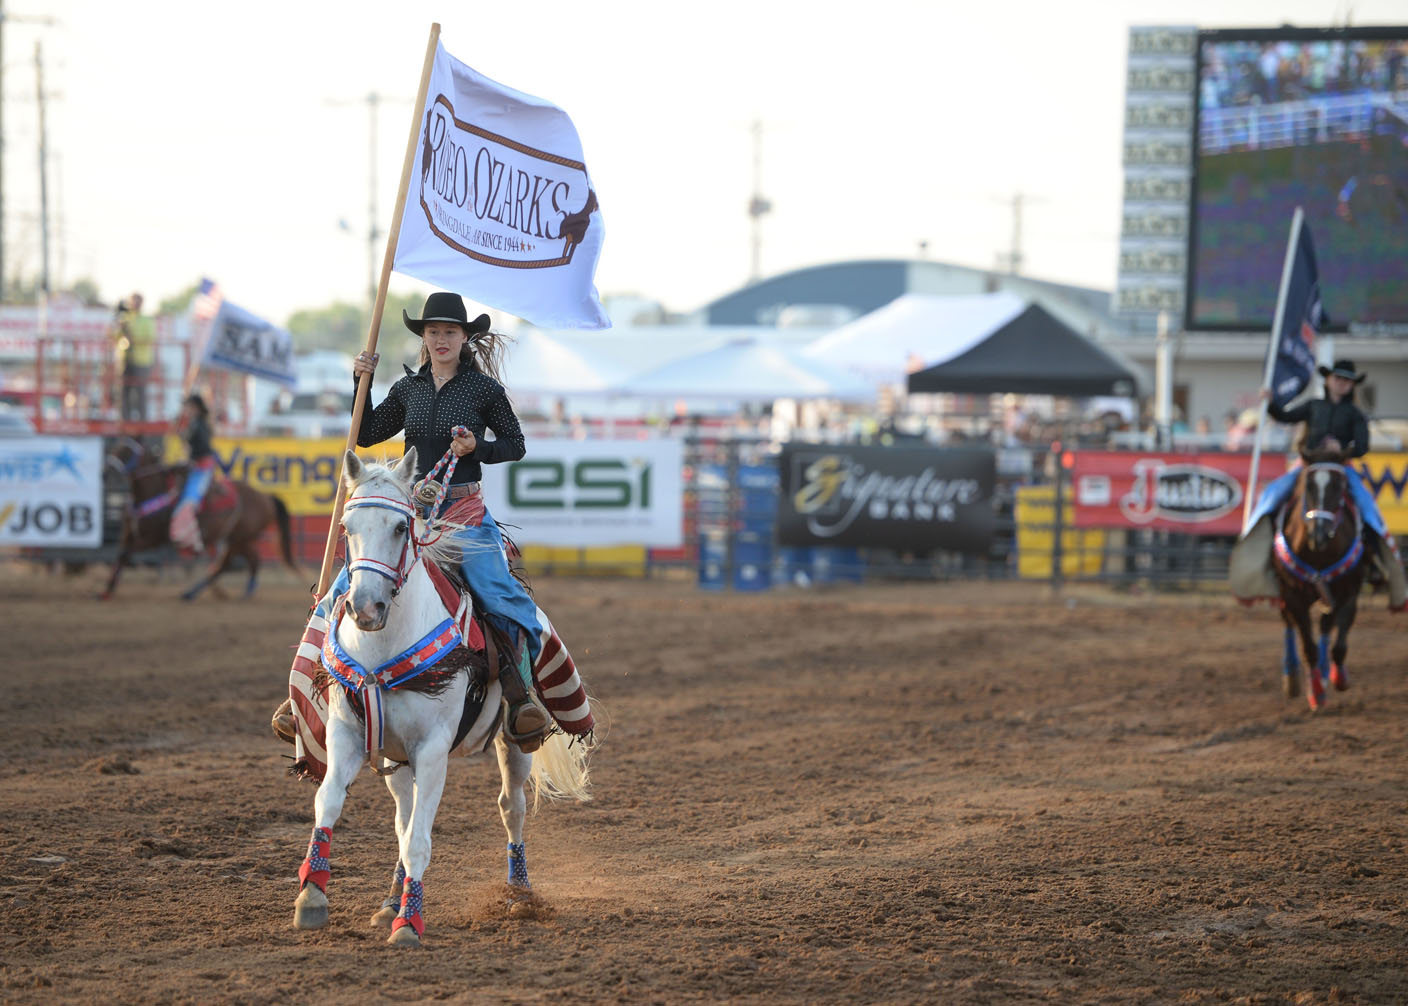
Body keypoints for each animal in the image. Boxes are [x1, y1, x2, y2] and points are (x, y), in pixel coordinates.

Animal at [101, 439, 299, 594]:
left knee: (230, 564)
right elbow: (120, 555)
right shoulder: (127, 533)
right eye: (113, 450)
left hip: (239, 539)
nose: (105, 474)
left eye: (126, 454)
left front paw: (107, 590)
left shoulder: (154, 538)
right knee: (240, 563)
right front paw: (107, 589)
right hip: (239, 539)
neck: (152, 492)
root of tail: (265, 497)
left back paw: (196, 593)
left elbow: (125, 554)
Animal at [291, 450, 588, 946]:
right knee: (403, 816)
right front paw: (312, 896)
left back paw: (518, 895)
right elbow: (329, 803)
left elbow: (420, 841)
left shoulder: (432, 749)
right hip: (394, 758)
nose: (365, 609)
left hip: (513, 743)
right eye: (347, 527)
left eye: (400, 527)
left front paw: (409, 924)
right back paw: (390, 900)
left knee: (511, 808)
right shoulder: (346, 734)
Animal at [1278, 459, 1362, 710]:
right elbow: (1308, 646)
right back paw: (1292, 679)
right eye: (1308, 487)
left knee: (1326, 626)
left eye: (1338, 486)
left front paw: (1338, 679)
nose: (1319, 534)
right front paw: (1314, 691)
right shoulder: (1292, 595)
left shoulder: (1348, 592)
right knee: (1289, 622)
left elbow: (1339, 645)